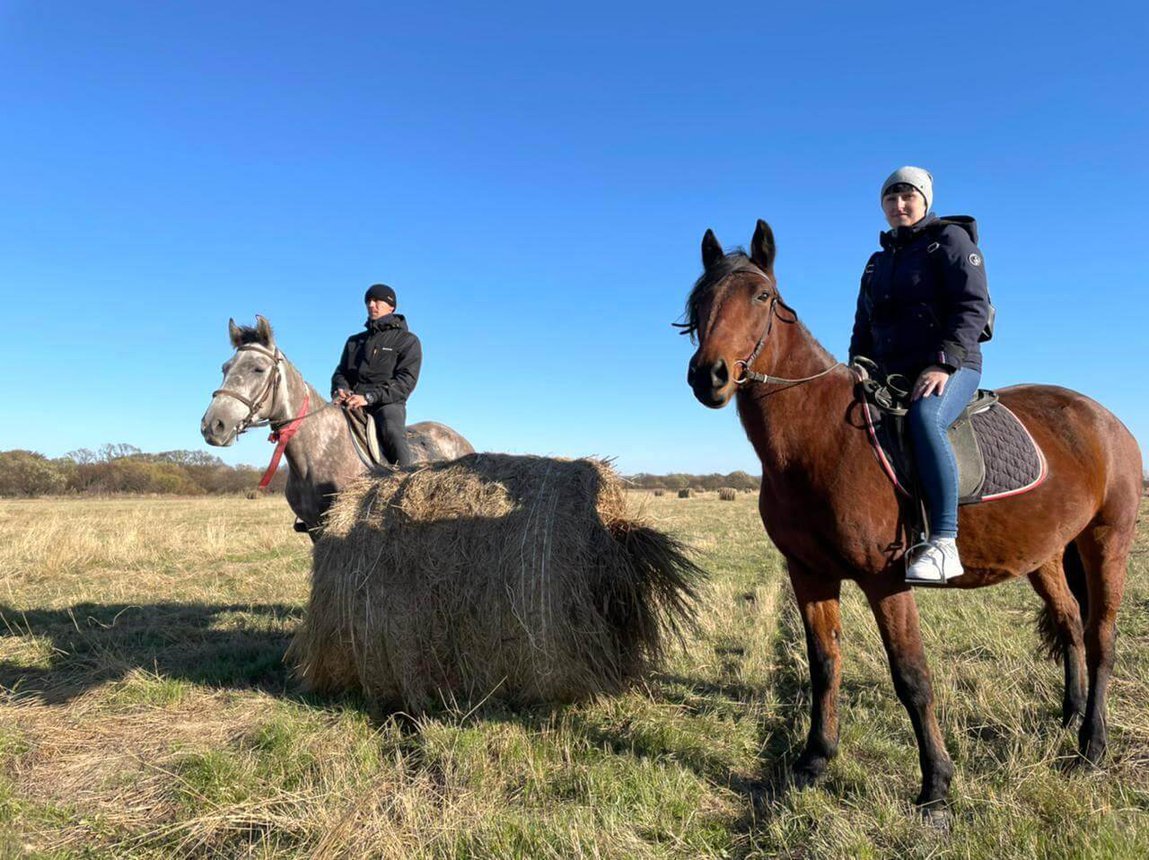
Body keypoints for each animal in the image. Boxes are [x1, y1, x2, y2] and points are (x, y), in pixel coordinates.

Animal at [680, 221, 1139, 814]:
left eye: (761, 296)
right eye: (699, 301)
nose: (708, 375)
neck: (819, 439)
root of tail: (1106, 419)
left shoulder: (886, 580)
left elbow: (912, 677)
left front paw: (936, 786)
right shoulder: (809, 574)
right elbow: (824, 665)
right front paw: (813, 761)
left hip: (1108, 541)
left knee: (1102, 636)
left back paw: (1092, 745)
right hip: (1046, 554)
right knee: (1069, 626)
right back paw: (1069, 717)